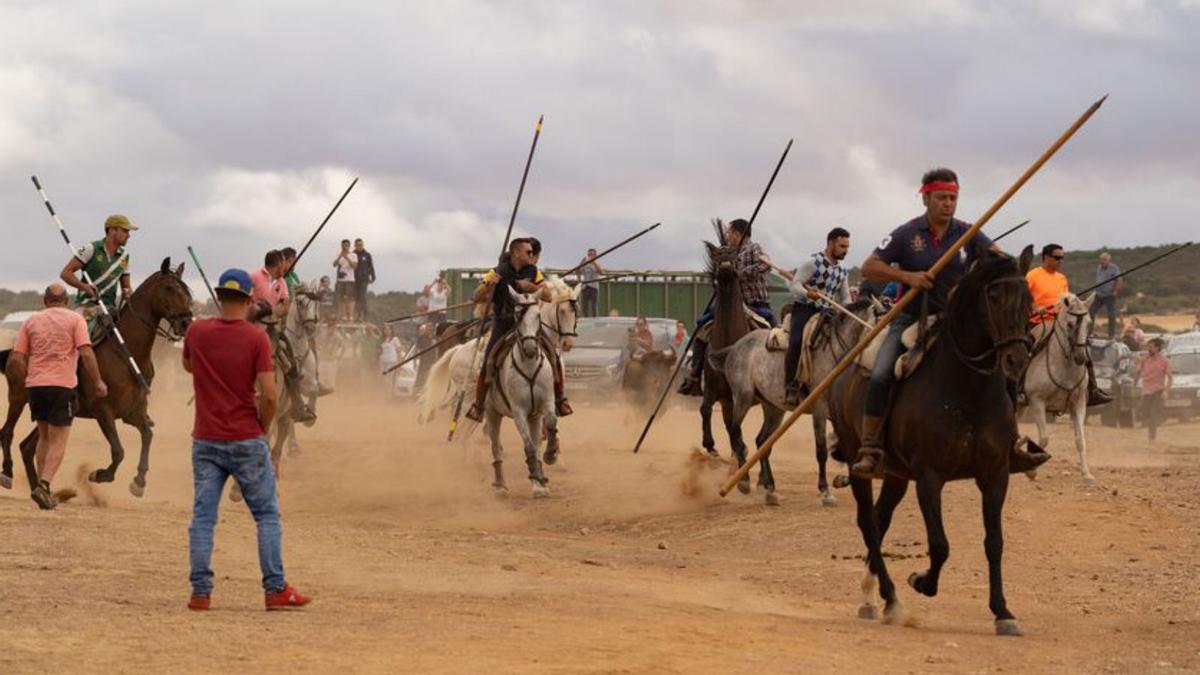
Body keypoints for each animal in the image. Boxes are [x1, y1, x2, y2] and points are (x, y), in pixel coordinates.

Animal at [0, 255, 192, 494]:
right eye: (168, 288)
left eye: (186, 290)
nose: (185, 322)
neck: (126, 352)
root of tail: (14, 348)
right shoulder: (103, 411)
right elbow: (118, 451)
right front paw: (100, 475)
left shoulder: (133, 412)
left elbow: (147, 435)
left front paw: (139, 481)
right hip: (18, 397)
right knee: (7, 432)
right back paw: (8, 473)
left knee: (27, 447)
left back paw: (41, 489)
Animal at [480, 285, 554, 497]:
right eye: (517, 315)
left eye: (538, 315)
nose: (530, 348)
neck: (529, 364)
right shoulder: (519, 411)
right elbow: (528, 446)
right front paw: (535, 479)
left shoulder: (546, 403)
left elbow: (551, 424)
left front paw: (550, 456)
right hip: (492, 413)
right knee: (496, 447)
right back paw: (500, 485)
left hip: (534, 418)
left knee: (537, 444)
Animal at [825, 243, 1041, 634]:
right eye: (994, 295)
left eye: (1029, 298)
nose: (1016, 359)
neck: (966, 388)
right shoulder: (930, 477)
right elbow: (940, 544)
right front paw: (921, 581)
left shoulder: (996, 474)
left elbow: (995, 542)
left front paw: (1003, 611)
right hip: (856, 461)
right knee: (868, 523)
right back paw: (890, 598)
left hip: (895, 474)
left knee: (879, 520)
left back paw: (871, 596)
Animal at [1017, 291, 1094, 480]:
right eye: (1070, 323)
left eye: (1089, 323)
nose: (1081, 357)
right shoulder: (1037, 402)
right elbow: (1044, 439)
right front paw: (1031, 470)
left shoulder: (1078, 403)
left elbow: (1080, 440)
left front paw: (1086, 474)